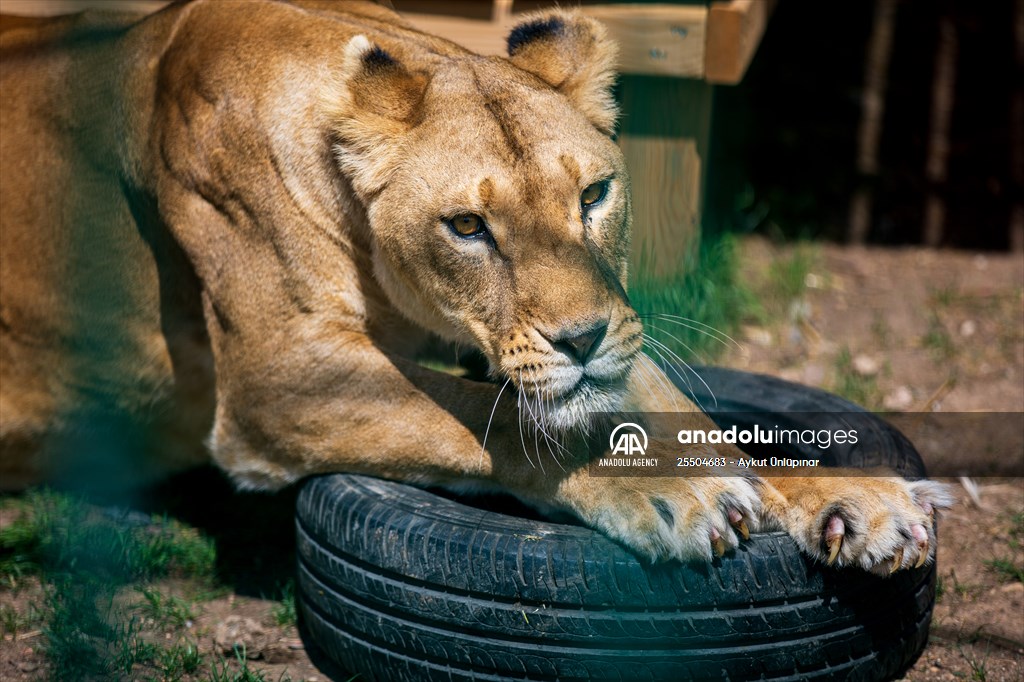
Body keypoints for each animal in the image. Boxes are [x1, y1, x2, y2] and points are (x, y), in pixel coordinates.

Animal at [0, 0, 950, 573]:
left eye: (593, 196)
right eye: (467, 227)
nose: (581, 341)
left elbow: (692, 417)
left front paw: (855, 498)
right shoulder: (277, 381)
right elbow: (486, 421)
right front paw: (673, 489)